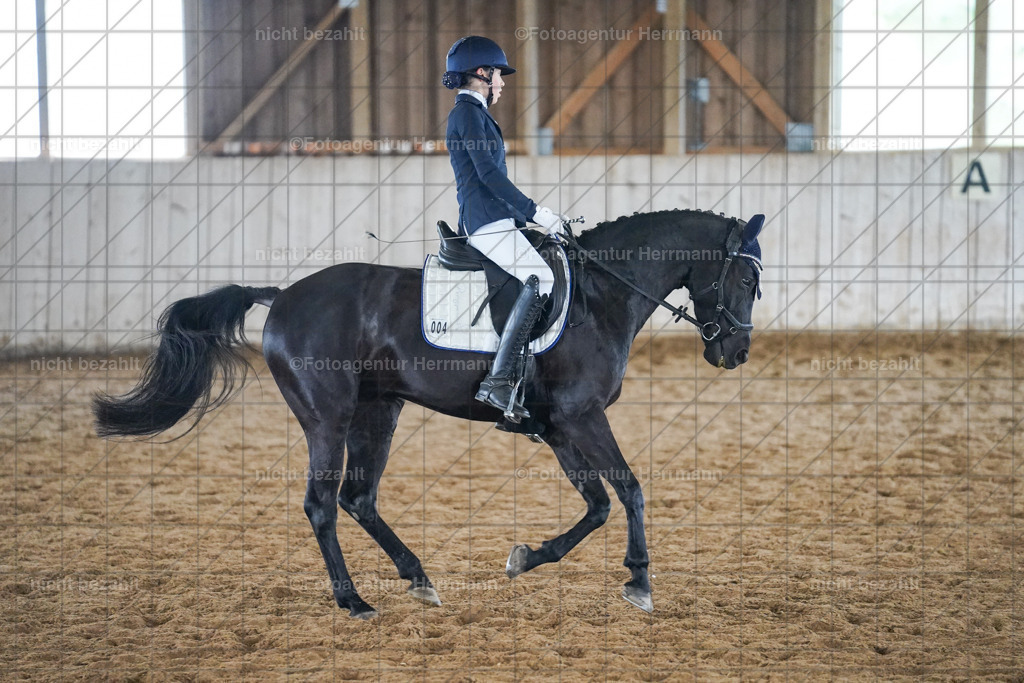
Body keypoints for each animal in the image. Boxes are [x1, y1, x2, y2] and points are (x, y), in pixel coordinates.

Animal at [93, 208, 765, 619]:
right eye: (745, 281)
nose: (735, 353)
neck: (600, 296)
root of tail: (282, 296)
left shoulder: (558, 426)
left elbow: (597, 504)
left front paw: (528, 557)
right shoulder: (582, 417)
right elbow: (629, 489)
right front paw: (641, 582)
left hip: (378, 412)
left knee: (357, 498)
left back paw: (417, 576)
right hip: (328, 419)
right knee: (322, 503)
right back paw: (354, 602)